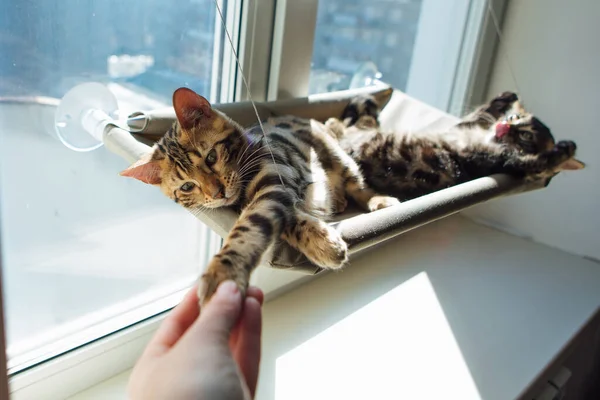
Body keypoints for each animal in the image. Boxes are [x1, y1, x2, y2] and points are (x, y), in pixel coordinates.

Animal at [120, 87, 400, 304]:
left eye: (211, 157)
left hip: (335, 154)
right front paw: (322, 241)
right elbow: (289, 222)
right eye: (187, 187)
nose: (217, 193)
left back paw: (378, 200)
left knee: (357, 183)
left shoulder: (275, 181)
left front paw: (224, 272)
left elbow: (251, 226)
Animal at [326, 92, 584, 202]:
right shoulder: (457, 129)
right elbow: (477, 112)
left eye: (526, 136)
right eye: (513, 118)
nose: (504, 126)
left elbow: (537, 161)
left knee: (351, 122)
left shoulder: (498, 160)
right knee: (351, 120)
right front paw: (506, 96)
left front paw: (566, 149)